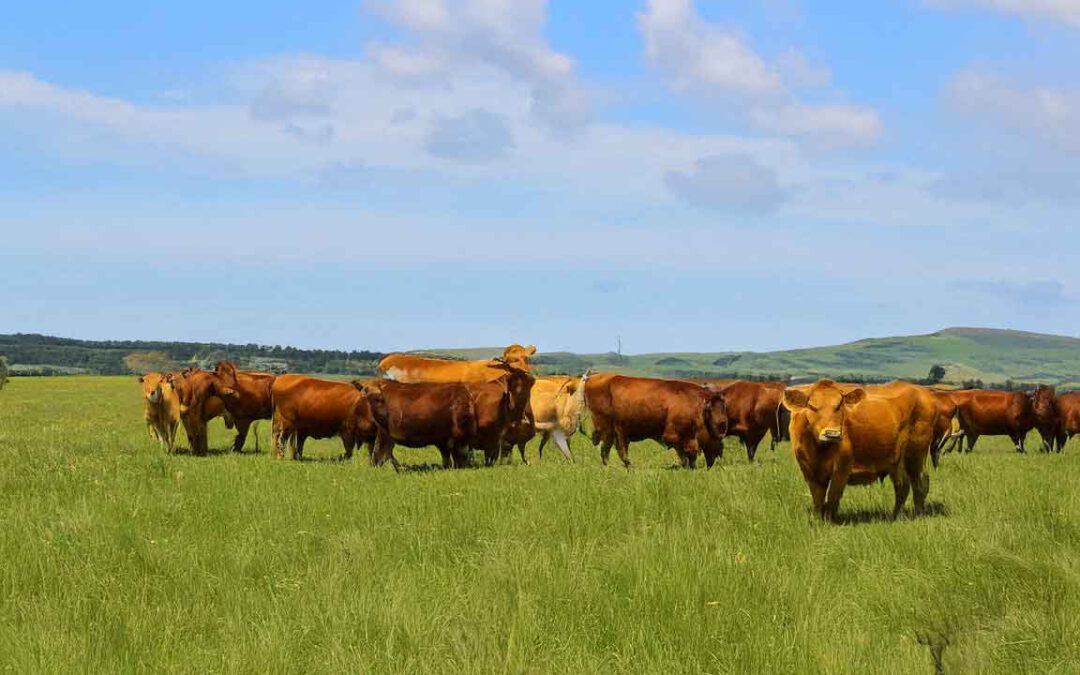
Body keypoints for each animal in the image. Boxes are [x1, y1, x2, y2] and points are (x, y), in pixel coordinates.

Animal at [583, 373, 725, 468]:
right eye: (720, 424)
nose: (719, 453)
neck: (701, 406)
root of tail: (593, 378)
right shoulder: (674, 435)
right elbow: (687, 453)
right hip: (609, 429)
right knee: (612, 449)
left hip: (615, 431)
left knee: (611, 449)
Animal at [781, 380, 941, 520]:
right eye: (812, 406)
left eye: (839, 405)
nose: (832, 434)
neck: (818, 449)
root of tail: (921, 391)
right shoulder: (809, 470)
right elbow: (818, 498)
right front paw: (819, 520)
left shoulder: (842, 467)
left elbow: (832, 495)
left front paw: (830, 520)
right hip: (897, 461)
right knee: (902, 486)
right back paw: (895, 516)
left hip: (915, 455)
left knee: (920, 483)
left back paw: (918, 514)